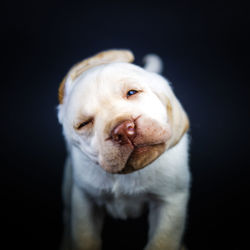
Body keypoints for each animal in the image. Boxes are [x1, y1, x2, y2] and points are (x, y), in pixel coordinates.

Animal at [57, 49, 190, 250]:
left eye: (132, 92)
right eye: (84, 124)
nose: (124, 130)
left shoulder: (170, 202)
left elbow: (162, 241)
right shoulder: (85, 202)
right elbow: (85, 238)